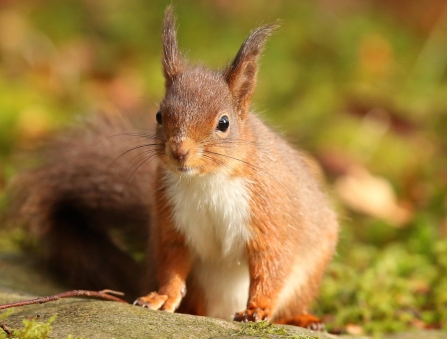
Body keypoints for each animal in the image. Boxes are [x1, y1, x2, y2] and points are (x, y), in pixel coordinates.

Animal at [7, 6, 338, 332]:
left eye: (224, 123)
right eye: (159, 115)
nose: (179, 151)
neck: (207, 180)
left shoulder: (269, 212)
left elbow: (271, 262)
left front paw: (258, 308)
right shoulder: (172, 218)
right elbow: (173, 261)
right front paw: (162, 297)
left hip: (309, 273)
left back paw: (303, 319)